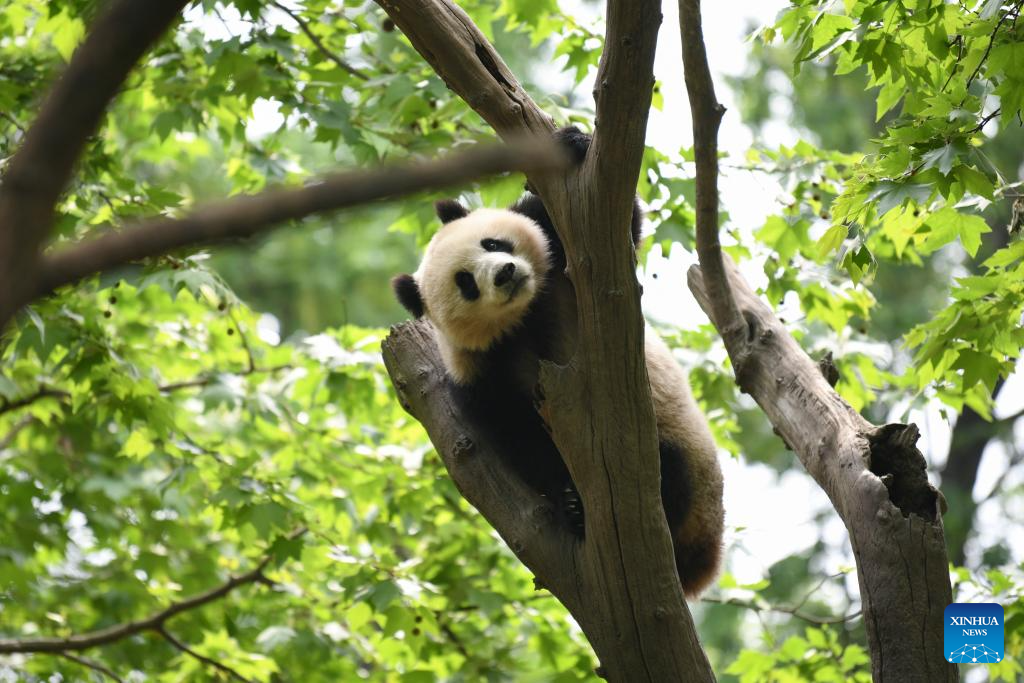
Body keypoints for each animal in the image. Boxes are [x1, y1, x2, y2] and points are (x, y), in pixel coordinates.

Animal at [387, 127, 724, 598]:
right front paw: (567, 502)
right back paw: (580, 512)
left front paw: (573, 142)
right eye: (466, 283)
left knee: (670, 469)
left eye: (492, 243)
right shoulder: (481, 373)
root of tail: (703, 565)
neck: (527, 313)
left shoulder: (564, 258)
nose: (505, 273)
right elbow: (519, 437)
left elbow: (618, 231)